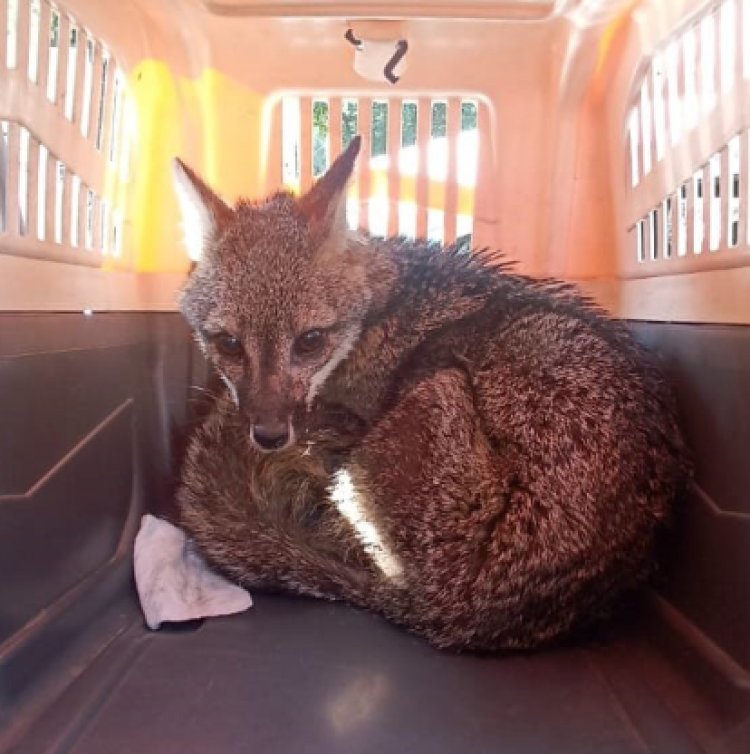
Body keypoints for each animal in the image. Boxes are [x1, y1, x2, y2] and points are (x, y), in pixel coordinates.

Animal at [173, 138, 692, 648]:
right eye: (228, 344)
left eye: (309, 341)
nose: (269, 435)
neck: (381, 308)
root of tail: (447, 614)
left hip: (437, 384)